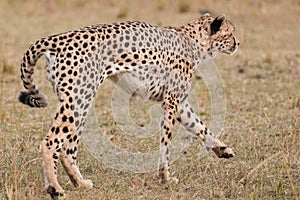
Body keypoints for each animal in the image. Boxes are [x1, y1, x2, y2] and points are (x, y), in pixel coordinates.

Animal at [18, 14, 239, 198]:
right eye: (230, 33)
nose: (238, 43)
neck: (194, 41)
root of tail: (60, 37)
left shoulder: (180, 103)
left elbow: (199, 126)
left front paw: (222, 149)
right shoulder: (171, 101)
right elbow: (166, 142)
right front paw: (165, 178)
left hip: (80, 101)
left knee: (67, 148)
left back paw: (80, 184)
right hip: (79, 99)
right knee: (50, 142)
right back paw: (55, 188)